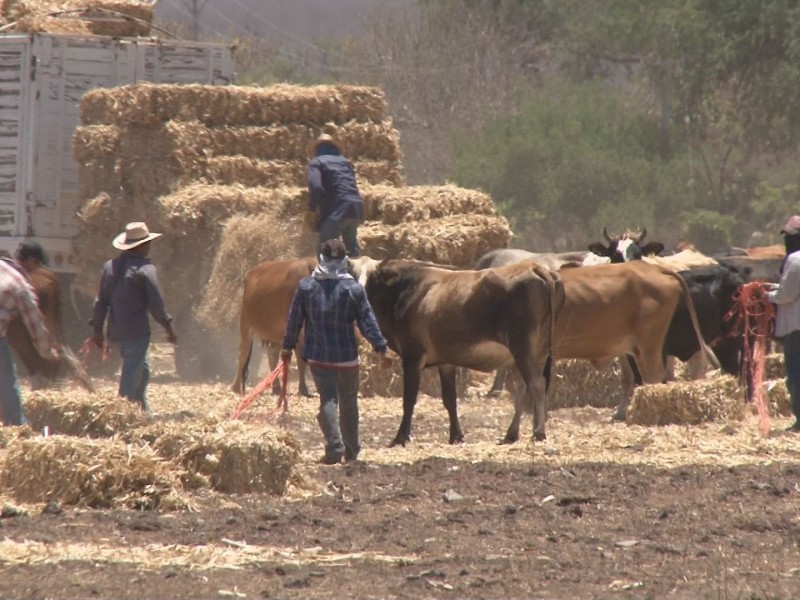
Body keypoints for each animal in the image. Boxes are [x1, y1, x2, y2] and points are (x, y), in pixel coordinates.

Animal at [230, 255, 318, 396]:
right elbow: (301, 359)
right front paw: (303, 389)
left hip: (275, 331)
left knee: (272, 355)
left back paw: (276, 387)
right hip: (245, 320)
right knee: (243, 352)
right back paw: (236, 387)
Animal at [350, 258, 564, 446]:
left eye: (373, 277)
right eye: (351, 273)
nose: (359, 293)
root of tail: (533, 267)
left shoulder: (412, 356)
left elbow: (409, 399)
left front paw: (401, 437)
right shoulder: (445, 362)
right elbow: (450, 399)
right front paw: (456, 436)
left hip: (523, 349)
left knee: (536, 384)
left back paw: (538, 433)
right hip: (535, 353)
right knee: (522, 388)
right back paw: (512, 434)